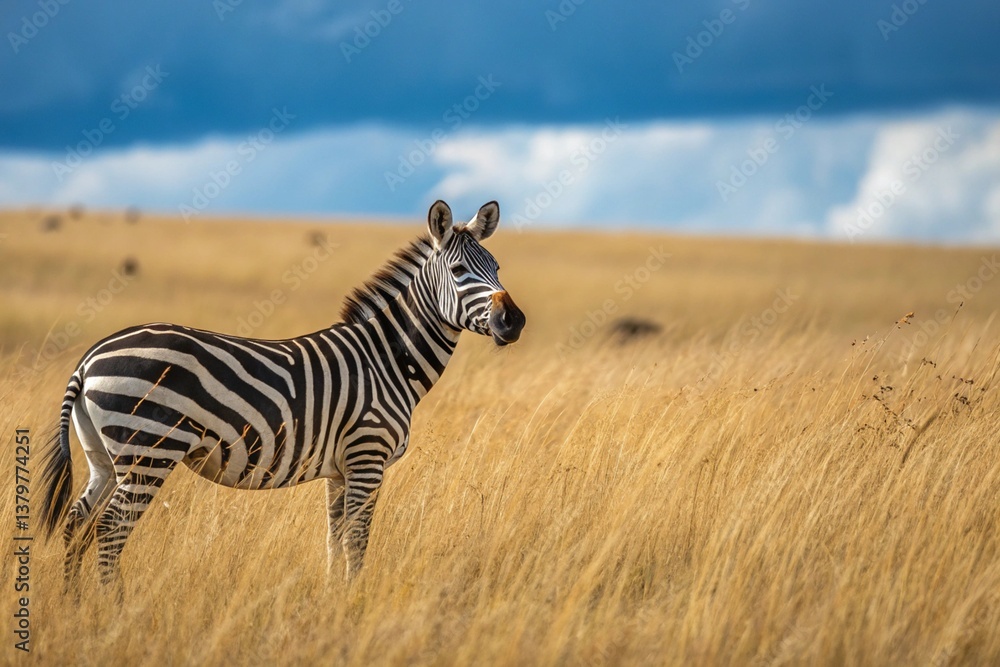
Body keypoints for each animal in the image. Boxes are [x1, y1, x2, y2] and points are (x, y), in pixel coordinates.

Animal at [38, 200, 526, 587]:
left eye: (498, 267)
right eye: (459, 271)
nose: (514, 322)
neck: (385, 359)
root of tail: (88, 360)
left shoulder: (340, 470)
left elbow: (334, 539)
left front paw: (333, 600)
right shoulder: (367, 457)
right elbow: (358, 540)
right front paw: (355, 601)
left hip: (104, 457)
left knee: (78, 522)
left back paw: (75, 606)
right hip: (149, 450)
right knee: (110, 528)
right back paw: (113, 610)